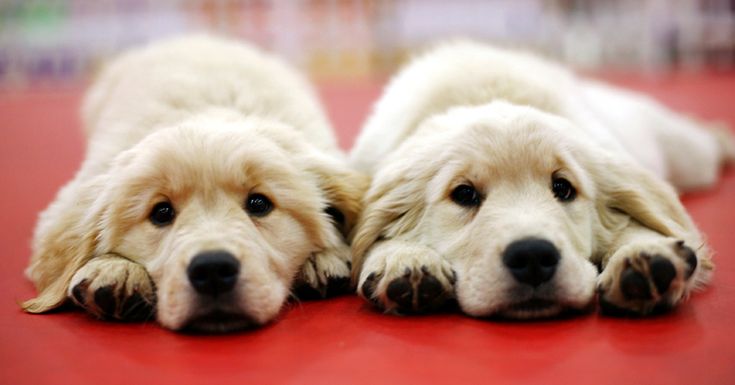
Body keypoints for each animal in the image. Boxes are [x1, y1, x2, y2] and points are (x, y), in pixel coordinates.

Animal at [354, 41, 732, 318]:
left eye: (563, 188)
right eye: (463, 194)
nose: (533, 256)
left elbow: (637, 224)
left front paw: (644, 254)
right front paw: (403, 259)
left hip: (686, 155)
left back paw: (723, 138)